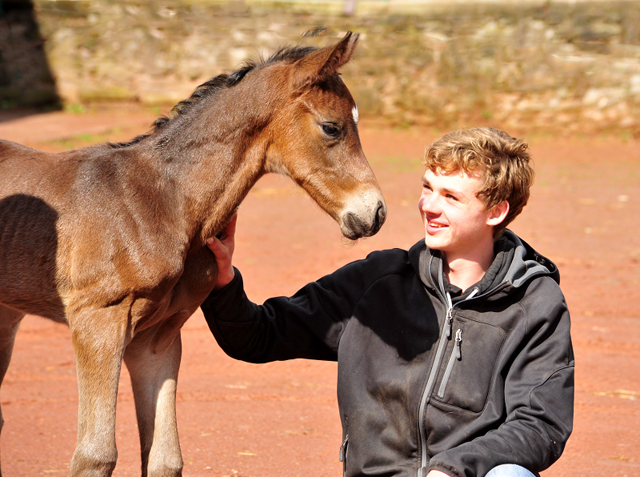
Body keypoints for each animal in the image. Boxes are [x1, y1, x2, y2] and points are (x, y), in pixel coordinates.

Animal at [0, 33, 384, 476]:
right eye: (331, 127)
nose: (376, 212)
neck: (161, 203)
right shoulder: (97, 321)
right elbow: (96, 454)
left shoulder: (155, 338)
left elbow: (165, 458)